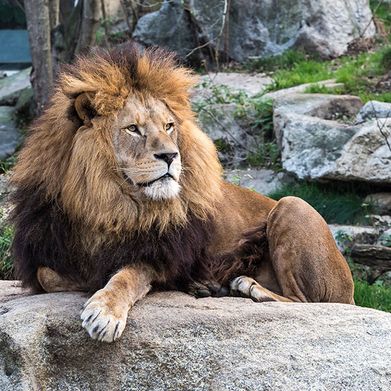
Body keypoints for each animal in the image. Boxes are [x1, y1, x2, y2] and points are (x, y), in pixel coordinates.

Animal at [9, 42, 356, 344]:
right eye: (133, 129)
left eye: (168, 126)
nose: (170, 155)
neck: (106, 202)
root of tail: (351, 291)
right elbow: (47, 275)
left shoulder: (158, 255)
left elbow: (126, 276)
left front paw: (104, 310)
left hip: (292, 205)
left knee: (308, 303)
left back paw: (247, 287)